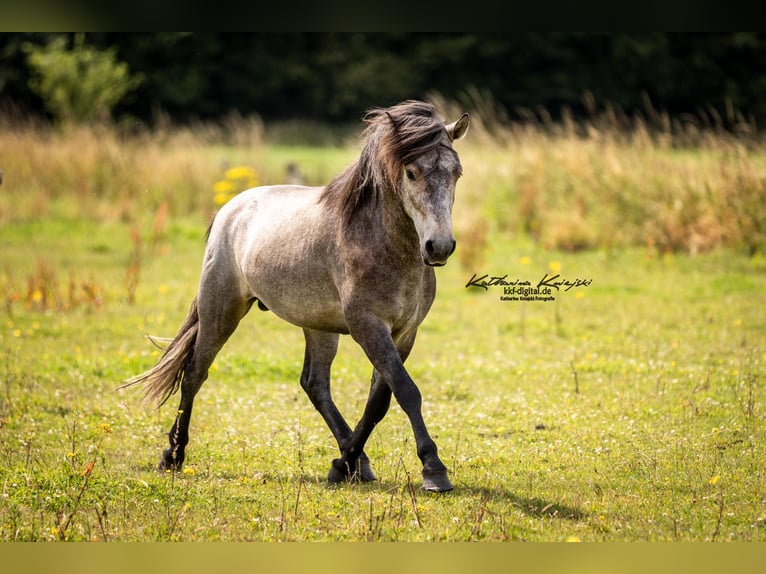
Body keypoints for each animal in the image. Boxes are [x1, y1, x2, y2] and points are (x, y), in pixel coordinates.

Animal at [121, 100, 470, 492]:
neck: (383, 244)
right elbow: (406, 391)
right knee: (195, 372)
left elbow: (380, 400)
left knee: (315, 384)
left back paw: (356, 463)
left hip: (319, 326)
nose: (439, 247)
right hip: (221, 308)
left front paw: (343, 464)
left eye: (456, 173)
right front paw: (433, 469)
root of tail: (230, 208)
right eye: (411, 173)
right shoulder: (368, 325)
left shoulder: (404, 332)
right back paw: (174, 456)